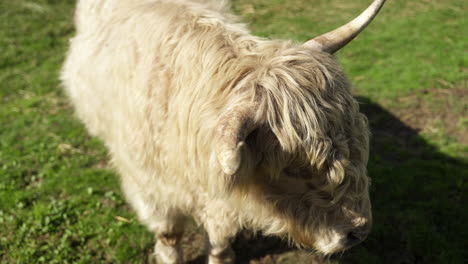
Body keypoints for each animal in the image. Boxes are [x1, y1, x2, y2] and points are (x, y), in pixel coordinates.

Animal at [60, 0, 386, 264]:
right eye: (292, 169)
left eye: (360, 139)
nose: (358, 231)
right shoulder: (150, 186)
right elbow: (169, 231)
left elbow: (219, 236)